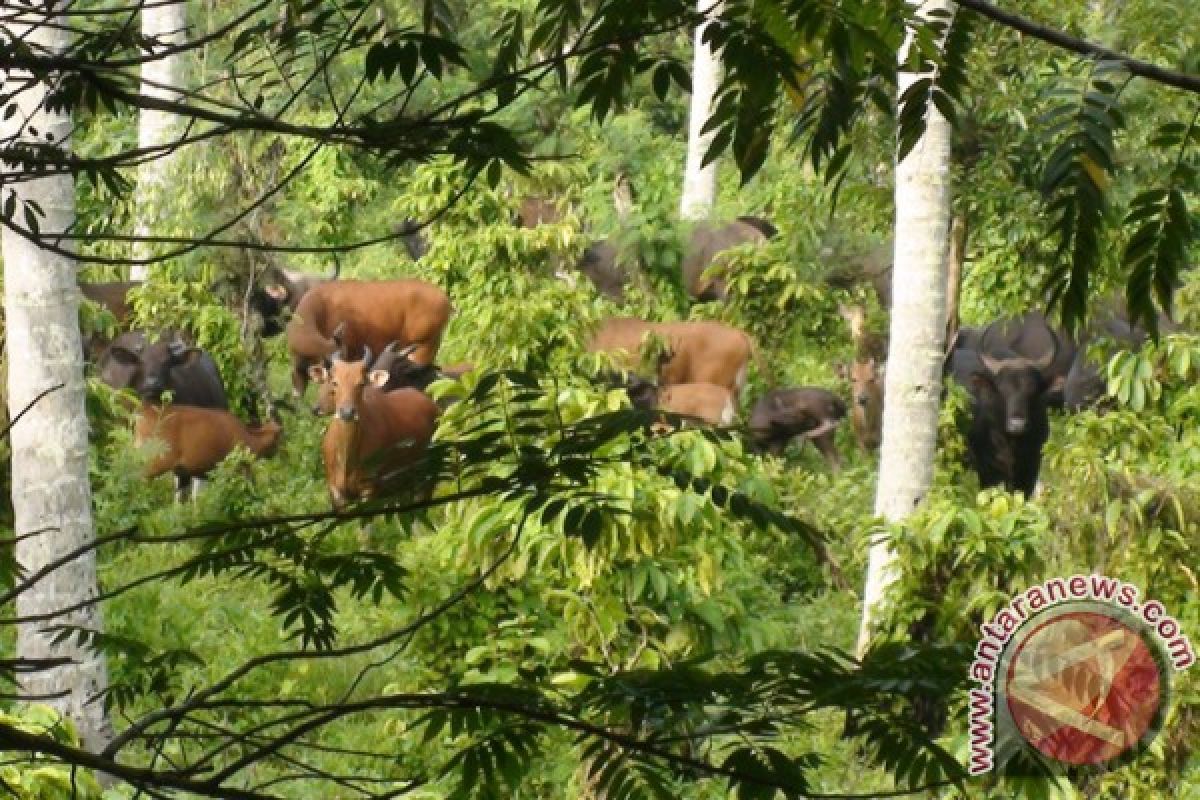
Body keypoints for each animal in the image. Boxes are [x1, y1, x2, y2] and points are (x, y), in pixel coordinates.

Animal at [136, 407, 283, 501]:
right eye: (280, 437)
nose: (279, 453)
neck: (248, 438)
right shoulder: (235, 467)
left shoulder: (185, 472)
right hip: (155, 462)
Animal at [309, 347, 441, 506]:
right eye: (334, 382)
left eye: (361, 383)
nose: (347, 412)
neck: (346, 462)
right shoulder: (336, 493)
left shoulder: (369, 489)